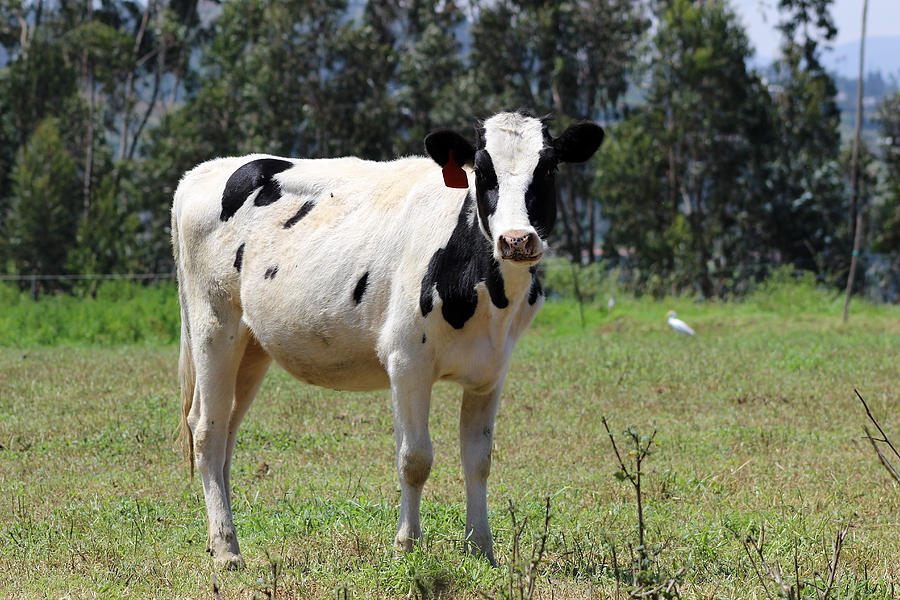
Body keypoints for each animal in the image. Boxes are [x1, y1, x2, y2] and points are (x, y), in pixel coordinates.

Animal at [171, 110, 600, 568]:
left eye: (549, 167)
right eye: (482, 171)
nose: (516, 240)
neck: (485, 290)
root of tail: (203, 171)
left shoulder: (491, 371)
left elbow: (478, 459)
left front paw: (481, 548)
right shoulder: (407, 361)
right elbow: (415, 459)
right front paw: (407, 545)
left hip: (252, 347)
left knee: (227, 431)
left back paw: (219, 536)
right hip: (214, 326)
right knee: (207, 430)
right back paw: (226, 550)